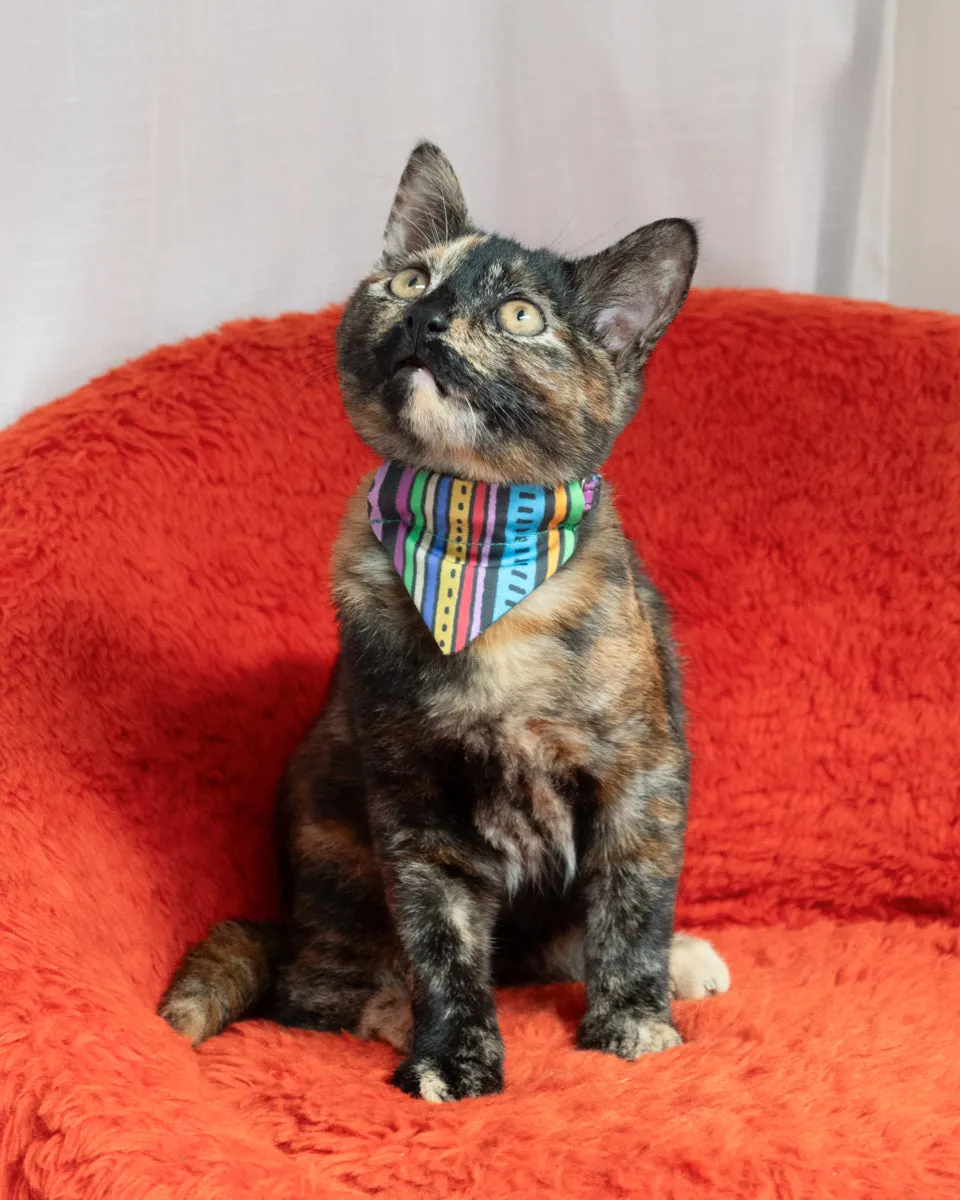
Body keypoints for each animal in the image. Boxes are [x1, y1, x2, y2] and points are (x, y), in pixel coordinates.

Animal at [159, 142, 729, 1104]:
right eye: (409, 278)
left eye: (521, 315)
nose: (427, 317)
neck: (477, 553)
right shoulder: (417, 809)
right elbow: (444, 943)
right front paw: (450, 1055)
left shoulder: (640, 778)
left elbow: (630, 909)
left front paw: (632, 1024)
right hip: (335, 843)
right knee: (313, 990)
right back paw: (386, 1009)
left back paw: (683, 962)